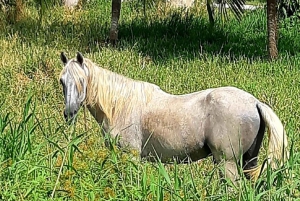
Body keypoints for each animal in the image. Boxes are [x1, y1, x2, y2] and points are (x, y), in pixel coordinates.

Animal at [58, 52, 288, 182]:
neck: (120, 106)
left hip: (227, 163)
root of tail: (254, 102)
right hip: (249, 160)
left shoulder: (131, 156)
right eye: (62, 81)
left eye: (81, 80)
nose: (69, 113)